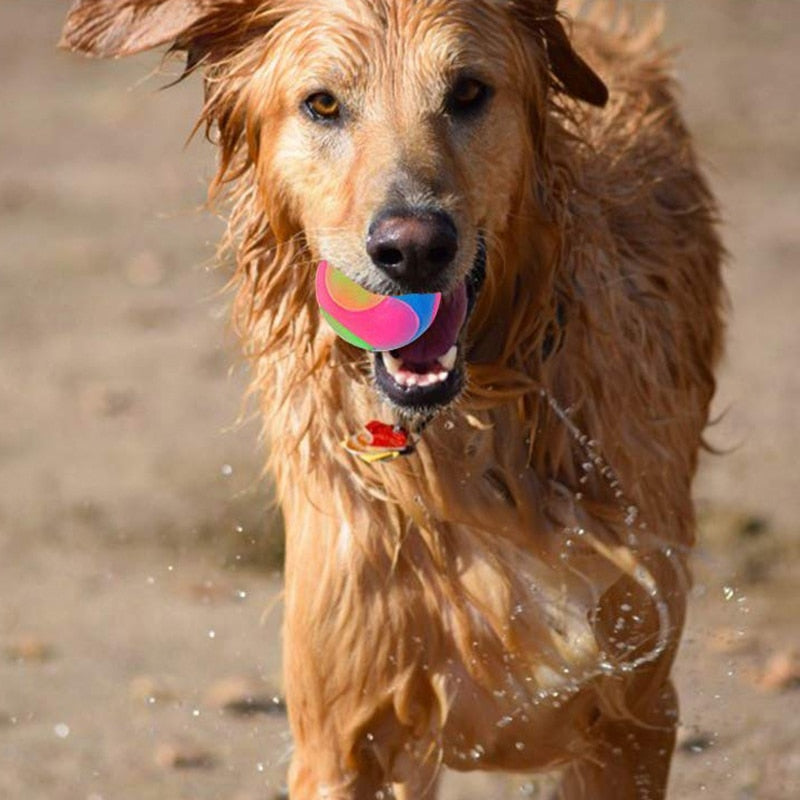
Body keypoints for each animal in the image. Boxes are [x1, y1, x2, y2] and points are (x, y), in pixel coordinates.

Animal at [62, 1, 724, 800]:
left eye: (468, 91)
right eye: (322, 104)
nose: (412, 247)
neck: (463, 443)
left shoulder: (632, 711)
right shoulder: (344, 732)